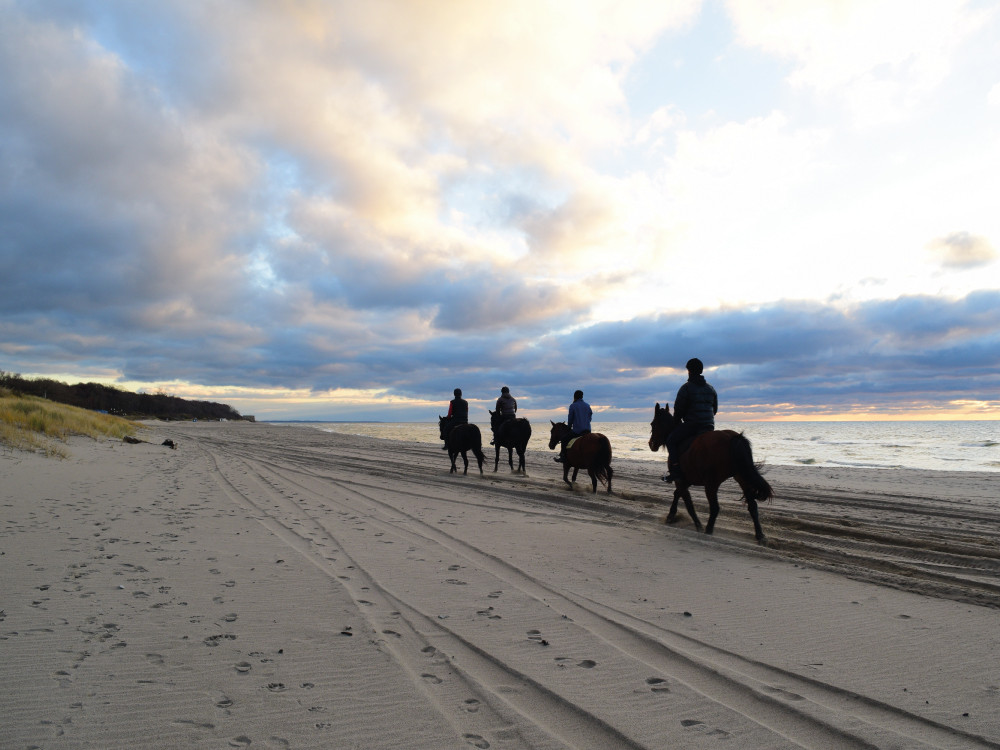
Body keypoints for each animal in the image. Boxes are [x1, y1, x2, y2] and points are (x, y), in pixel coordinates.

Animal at [648, 402, 772, 544]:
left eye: (653, 424)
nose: (651, 444)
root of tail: (732, 437)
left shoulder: (680, 480)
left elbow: (688, 503)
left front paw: (698, 526)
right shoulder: (686, 480)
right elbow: (677, 494)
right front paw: (671, 516)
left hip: (711, 484)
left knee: (715, 508)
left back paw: (708, 530)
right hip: (742, 478)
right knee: (752, 506)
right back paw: (760, 535)